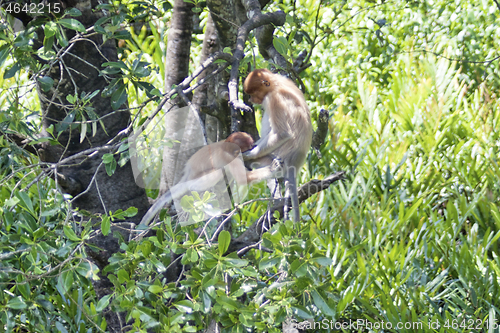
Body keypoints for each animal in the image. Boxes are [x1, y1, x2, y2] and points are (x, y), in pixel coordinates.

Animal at [242, 68, 312, 222]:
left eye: (253, 93)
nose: (250, 100)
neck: (276, 84)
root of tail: (294, 163)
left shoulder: (274, 99)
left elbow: (283, 134)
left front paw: (247, 154)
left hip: (274, 158)